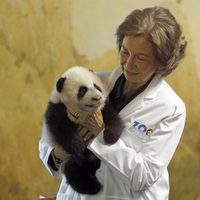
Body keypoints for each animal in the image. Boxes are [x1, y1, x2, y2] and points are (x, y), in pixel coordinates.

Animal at [43, 66, 124, 195]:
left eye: (96, 86)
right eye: (82, 90)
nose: (97, 98)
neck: (84, 113)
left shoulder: (102, 108)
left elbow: (112, 117)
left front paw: (110, 136)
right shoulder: (57, 109)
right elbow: (61, 131)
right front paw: (78, 145)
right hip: (70, 160)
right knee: (75, 174)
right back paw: (93, 185)